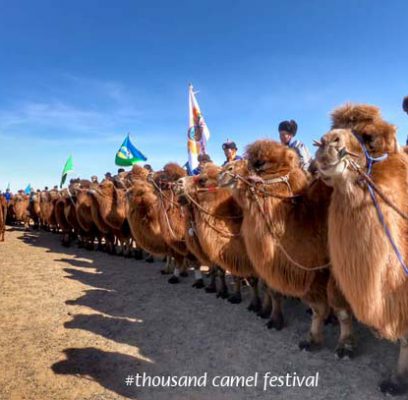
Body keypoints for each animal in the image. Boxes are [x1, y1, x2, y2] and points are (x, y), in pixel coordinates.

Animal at [218, 143, 356, 356]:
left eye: (259, 164)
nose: (224, 171)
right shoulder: (305, 270)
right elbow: (314, 307)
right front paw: (304, 335)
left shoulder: (332, 270)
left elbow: (340, 309)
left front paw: (344, 346)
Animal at [316, 102, 408, 394]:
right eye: (335, 129)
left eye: (369, 137)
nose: (327, 142)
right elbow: (343, 310)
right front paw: (345, 346)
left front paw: (396, 381)